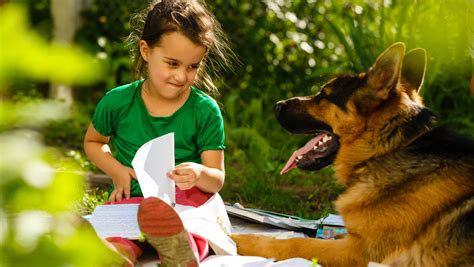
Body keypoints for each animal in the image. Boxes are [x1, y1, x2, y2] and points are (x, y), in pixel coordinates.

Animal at [233, 43, 474, 266]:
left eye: (323, 95)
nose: (277, 105)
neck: (387, 149)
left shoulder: (360, 253)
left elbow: (295, 243)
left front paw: (238, 240)